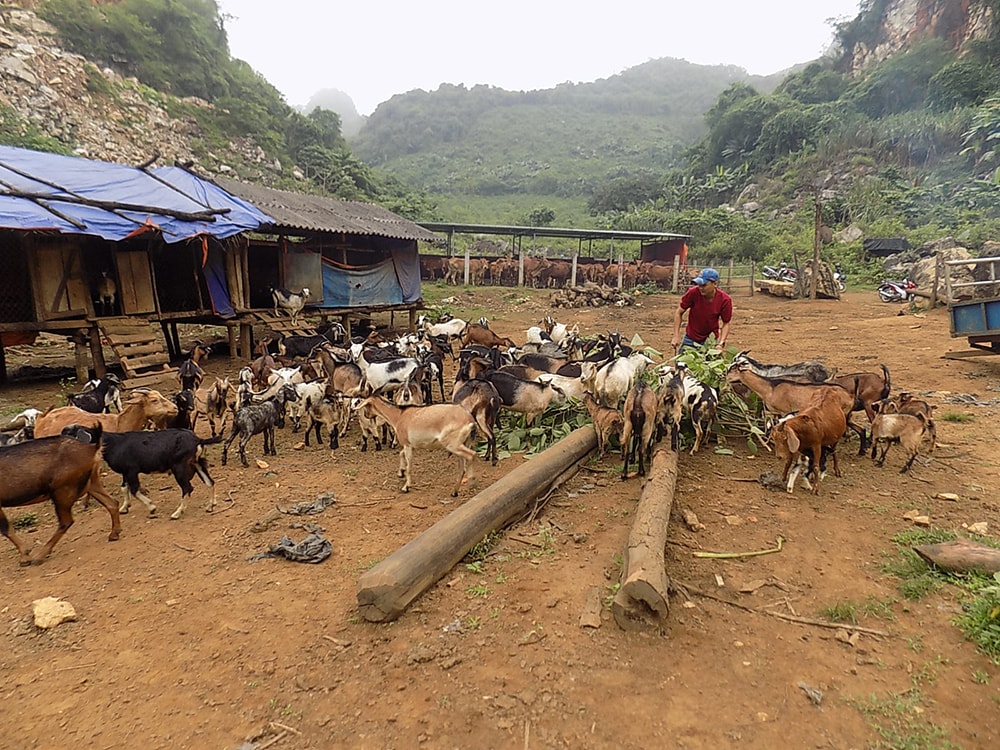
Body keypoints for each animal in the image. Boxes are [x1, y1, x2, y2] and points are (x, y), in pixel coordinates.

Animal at [0, 426, 121, 568]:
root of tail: (92, 448)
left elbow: (6, 529)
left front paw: (25, 557)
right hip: (92, 482)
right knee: (112, 503)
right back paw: (114, 534)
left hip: (63, 491)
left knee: (66, 521)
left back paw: (40, 556)